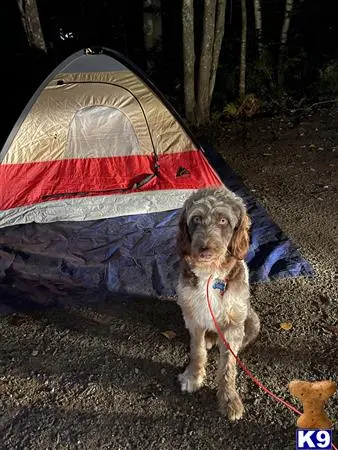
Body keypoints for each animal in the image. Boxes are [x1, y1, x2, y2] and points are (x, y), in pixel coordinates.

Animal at [176, 185, 260, 420]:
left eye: (223, 220)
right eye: (196, 218)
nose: (205, 250)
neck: (210, 275)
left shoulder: (233, 324)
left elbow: (228, 366)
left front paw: (229, 398)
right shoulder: (192, 316)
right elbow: (196, 351)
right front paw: (193, 376)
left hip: (252, 320)